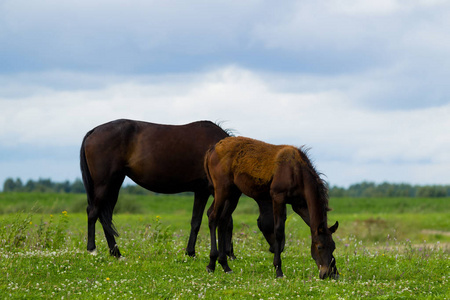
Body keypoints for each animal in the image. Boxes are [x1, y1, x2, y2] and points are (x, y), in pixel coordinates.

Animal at [81, 119, 237, 258]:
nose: (230, 254)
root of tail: (93, 131)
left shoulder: (201, 192)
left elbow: (196, 221)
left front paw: (191, 252)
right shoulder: (209, 191)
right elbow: (225, 221)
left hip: (114, 184)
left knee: (105, 216)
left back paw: (116, 254)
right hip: (104, 183)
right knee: (93, 212)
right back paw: (92, 250)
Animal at [204, 137, 338, 278]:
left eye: (333, 246)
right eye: (319, 247)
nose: (327, 273)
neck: (296, 172)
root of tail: (212, 149)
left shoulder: (299, 205)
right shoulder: (278, 197)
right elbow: (279, 231)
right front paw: (278, 269)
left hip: (233, 193)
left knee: (222, 221)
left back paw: (225, 265)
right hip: (222, 189)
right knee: (213, 217)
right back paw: (211, 263)